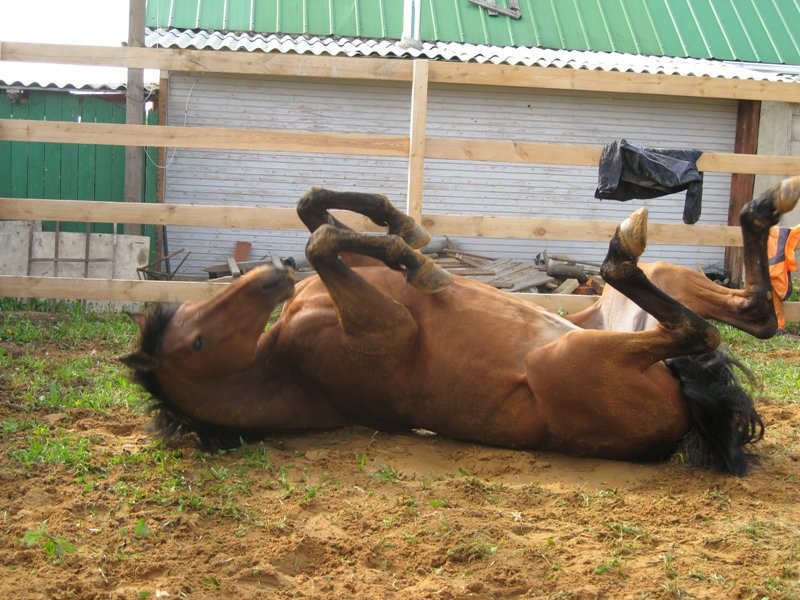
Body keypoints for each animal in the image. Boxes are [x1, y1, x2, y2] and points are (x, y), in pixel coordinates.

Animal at [123, 176, 800, 476]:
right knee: (702, 329)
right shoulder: (388, 329)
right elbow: (323, 241)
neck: (287, 366)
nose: (271, 277)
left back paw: (766, 203)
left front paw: (407, 236)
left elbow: (316, 215)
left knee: (756, 315)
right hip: (571, 356)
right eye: (196, 340)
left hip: (626, 307)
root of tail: (688, 417)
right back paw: (625, 242)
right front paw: (422, 265)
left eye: (191, 324)